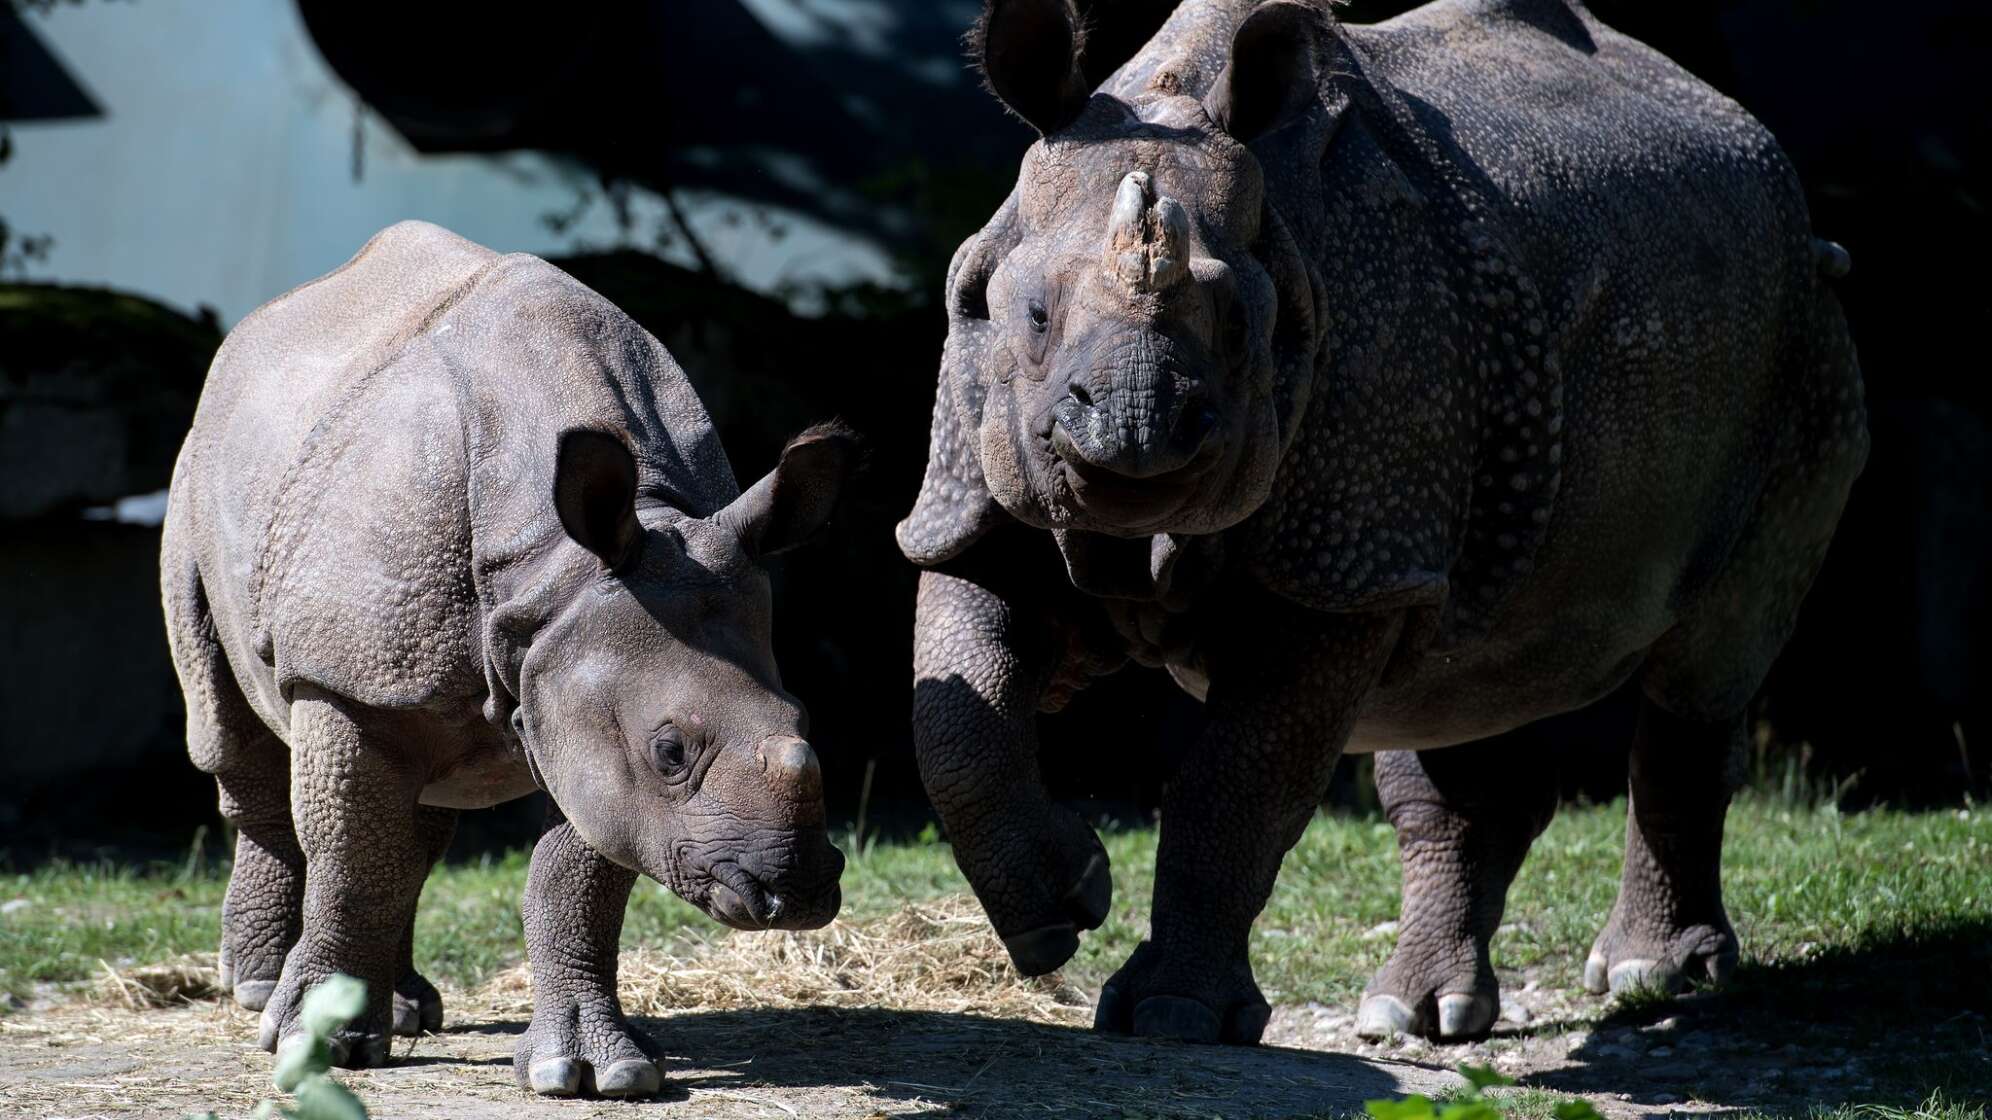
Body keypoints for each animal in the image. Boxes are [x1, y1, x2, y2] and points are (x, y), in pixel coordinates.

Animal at [167, 222, 852, 1092]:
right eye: (670, 751)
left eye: (803, 718)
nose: (794, 892)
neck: (556, 570)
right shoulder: (353, 677)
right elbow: (351, 858)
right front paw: (314, 1047)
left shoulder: (577, 692)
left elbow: (577, 872)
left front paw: (592, 1074)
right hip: (200, 475)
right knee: (235, 735)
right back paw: (259, 991)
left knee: (414, 818)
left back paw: (402, 1009)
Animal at [904, 0, 1864, 1036]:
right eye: (1032, 317)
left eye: (1241, 328)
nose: (1134, 427)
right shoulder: (973, 498)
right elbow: (957, 716)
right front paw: (1063, 906)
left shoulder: (1345, 563)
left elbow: (1236, 783)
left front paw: (1173, 1015)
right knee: (1470, 671)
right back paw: (1417, 1013)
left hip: (1803, 331)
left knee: (1708, 657)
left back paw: (1648, 977)